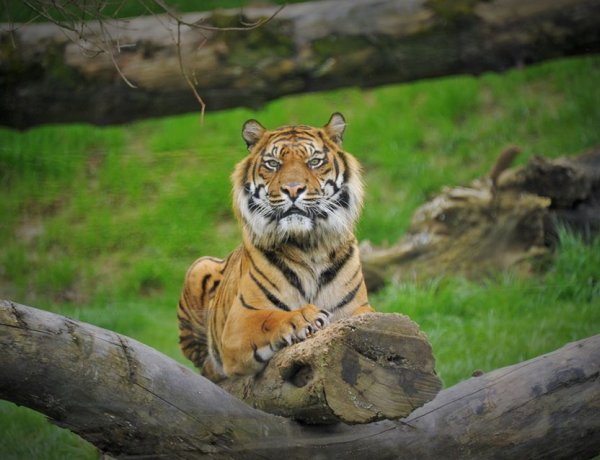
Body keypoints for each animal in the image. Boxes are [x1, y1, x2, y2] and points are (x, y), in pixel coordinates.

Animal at [177, 112, 376, 380]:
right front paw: (305, 317)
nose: (293, 189)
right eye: (273, 163)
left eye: (314, 161)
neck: (309, 246)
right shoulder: (237, 324)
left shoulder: (359, 309)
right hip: (199, 267)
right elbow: (271, 318)